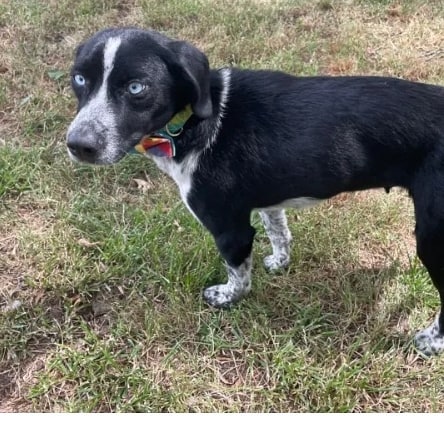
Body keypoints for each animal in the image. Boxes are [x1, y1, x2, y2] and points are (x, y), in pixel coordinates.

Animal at [66, 26, 444, 354]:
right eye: (79, 79)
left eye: (136, 87)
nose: (78, 145)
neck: (194, 120)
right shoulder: (269, 201)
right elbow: (280, 233)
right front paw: (280, 261)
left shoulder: (229, 227)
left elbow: (238, 273)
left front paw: (228, 298)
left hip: (432, 237)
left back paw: (432, 342)